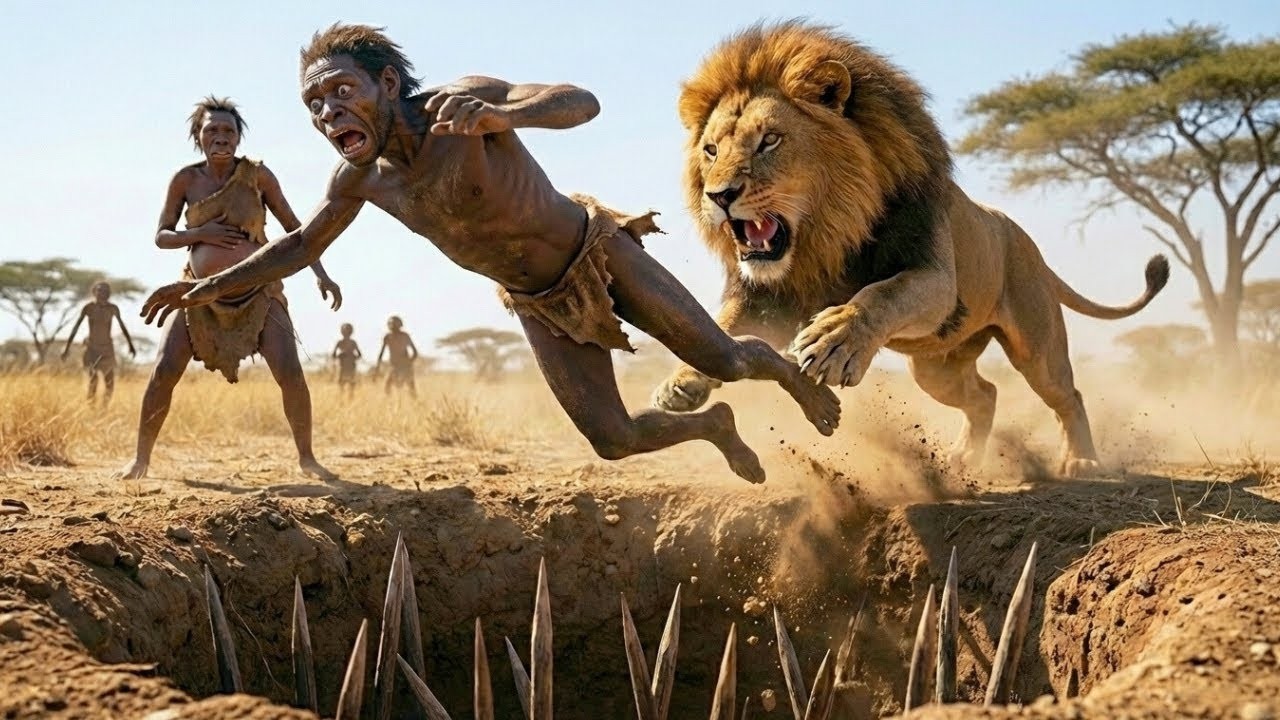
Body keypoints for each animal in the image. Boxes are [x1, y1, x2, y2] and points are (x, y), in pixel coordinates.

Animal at [652, 20, 1169, 477]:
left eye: (769, 141)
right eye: (711, 151)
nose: (718, 196)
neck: (826, 237)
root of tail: (1030, 247)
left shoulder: (933, 278)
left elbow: (881, 295)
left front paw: (835, 341)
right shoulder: (768, 296)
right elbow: (721, 329)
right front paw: (682, 382)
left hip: (1035, 348)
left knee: (1067, 395)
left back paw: (1082, 462)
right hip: (936, 367)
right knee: (985, 394)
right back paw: (963, 457)